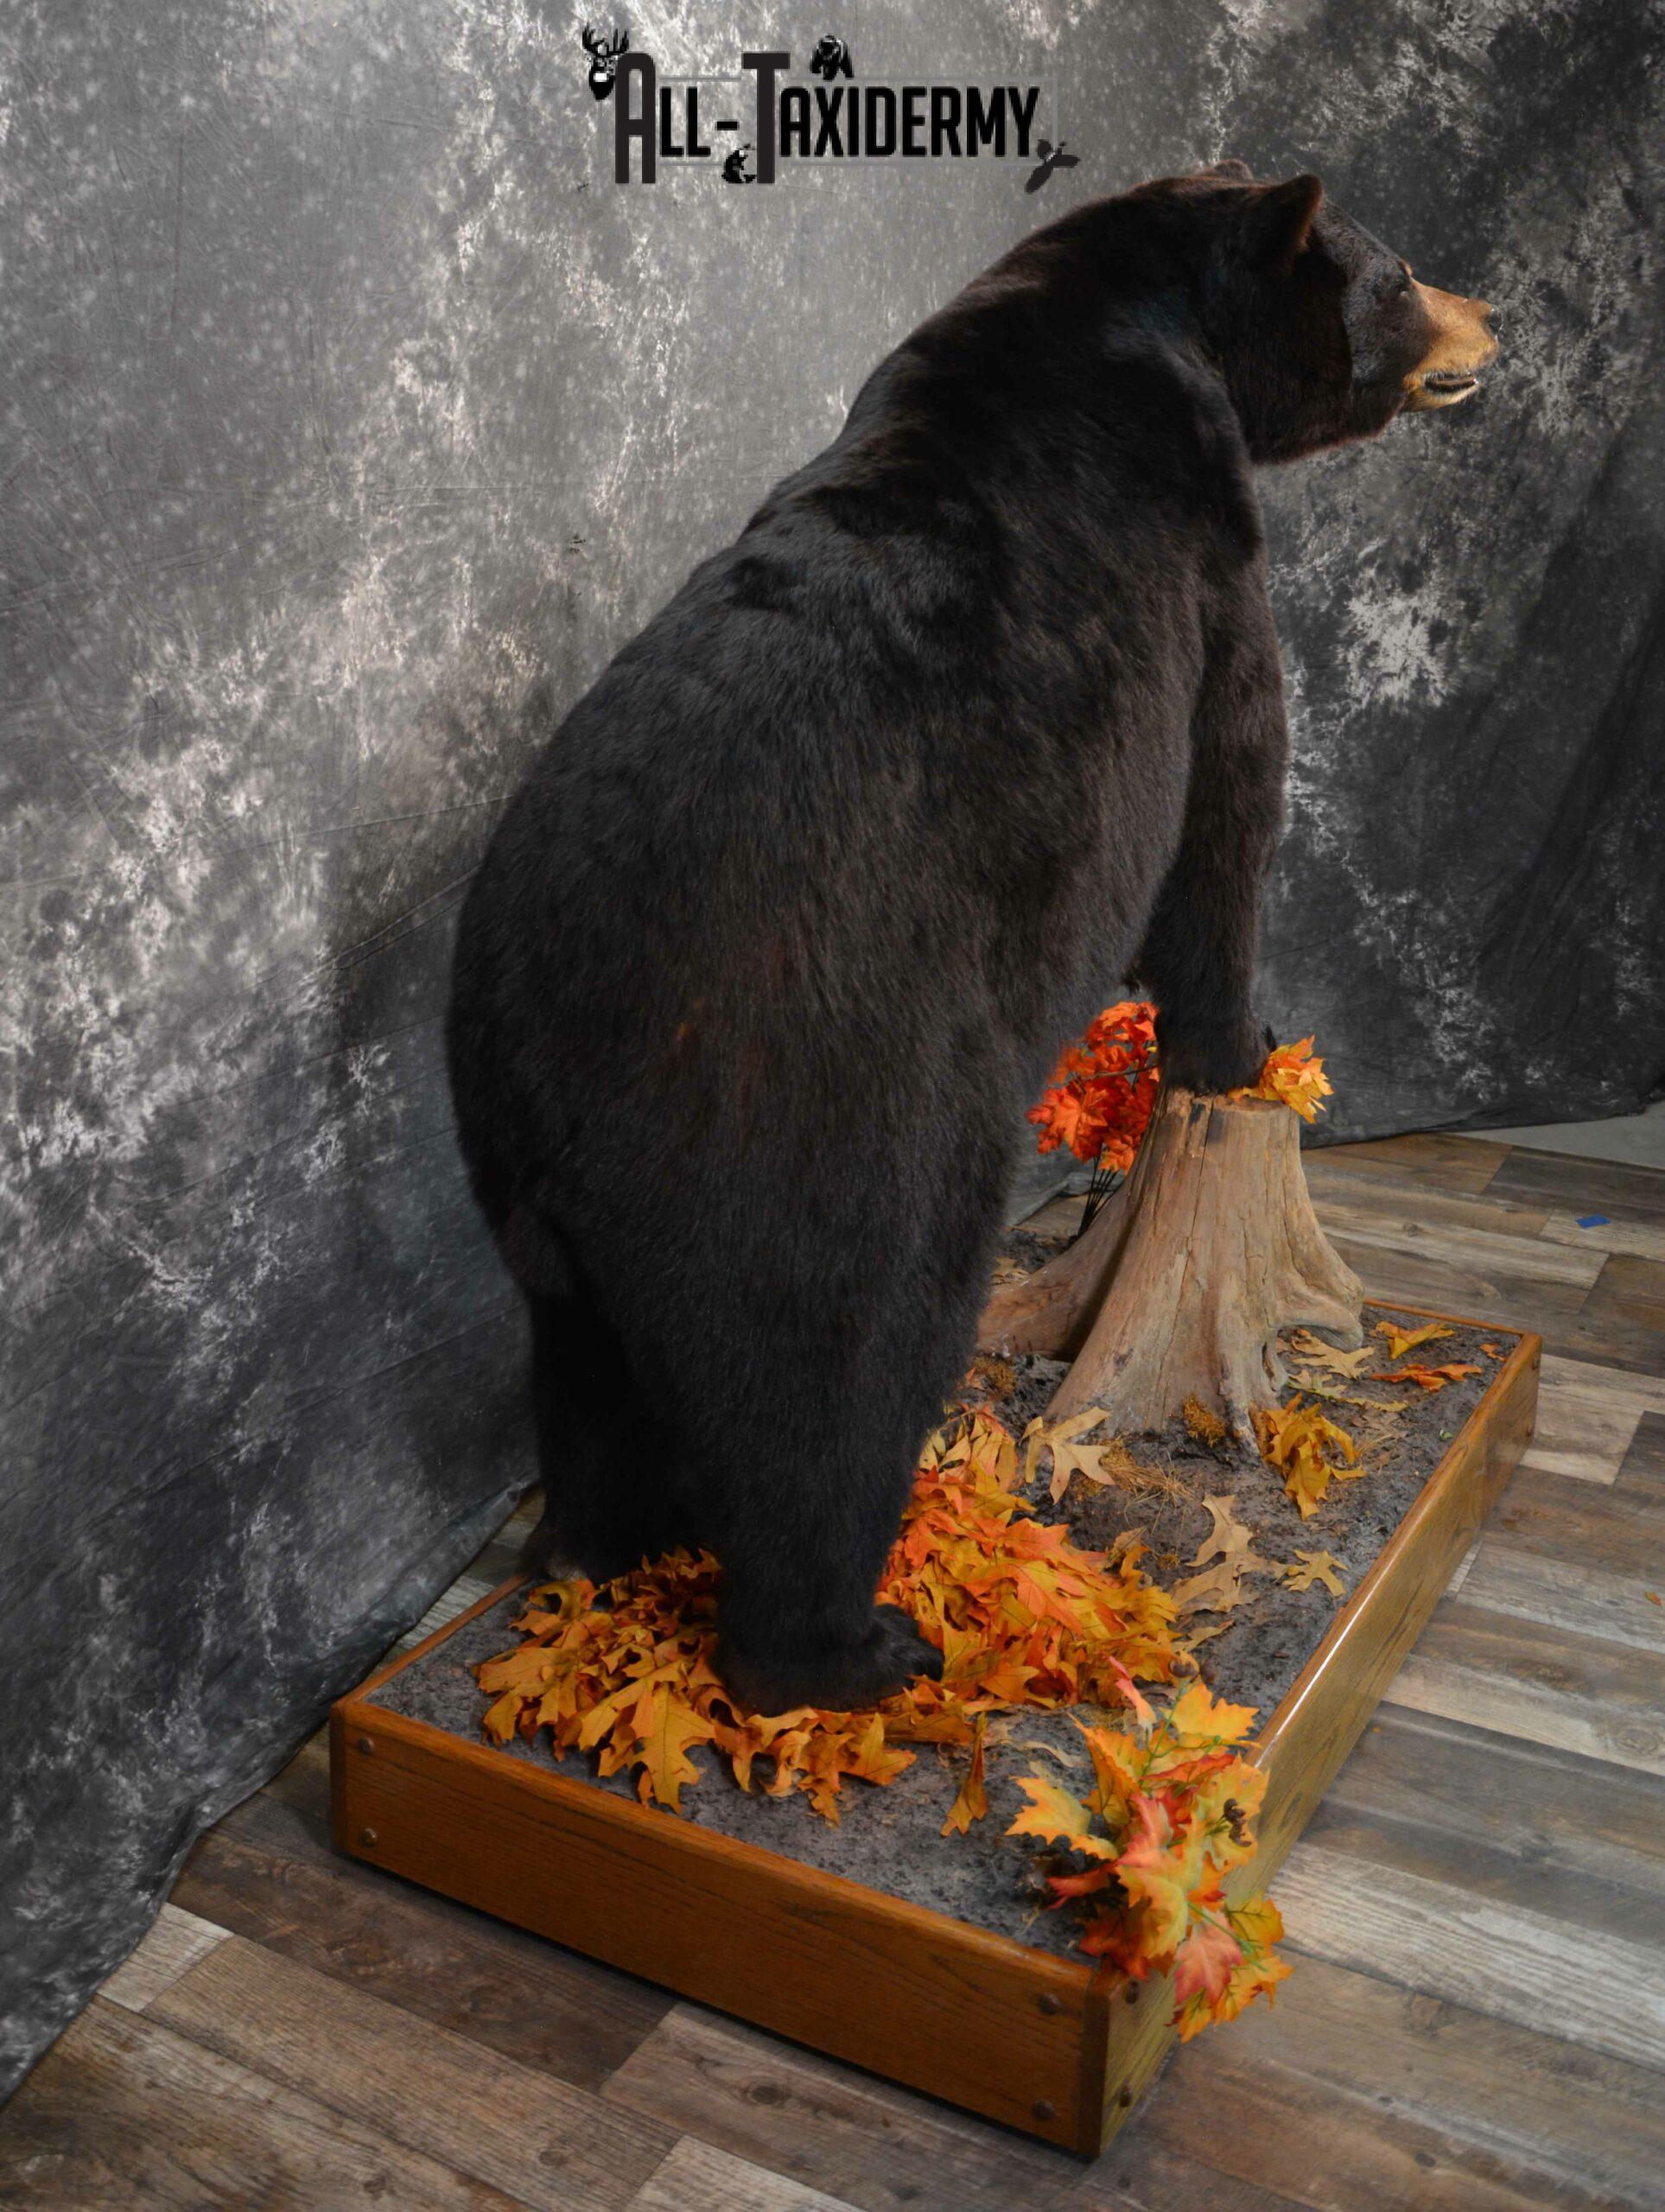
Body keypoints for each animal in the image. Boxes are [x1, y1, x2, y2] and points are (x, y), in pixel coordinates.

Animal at [447, 162, 1495, 1713]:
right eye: (1400, 272)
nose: (1484, 313)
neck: (1139, 312)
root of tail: (551, 1055)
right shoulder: (1197, 557)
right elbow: (1225, 787)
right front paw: (1236, 1048)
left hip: (532, 1213)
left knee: (584, 1381)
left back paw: (602, 1551)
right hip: (829, 1120)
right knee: (838, 1377)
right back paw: (853, 1646)